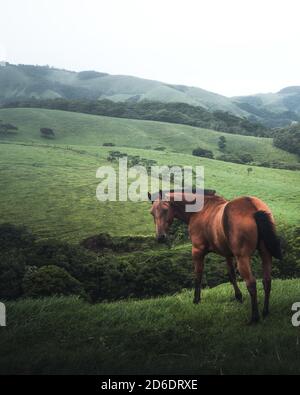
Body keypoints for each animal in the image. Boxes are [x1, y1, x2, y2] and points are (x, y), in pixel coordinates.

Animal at [149, 191, 282, 324]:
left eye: (165, 209)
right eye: (152, 212)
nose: (160, 237)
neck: (199, 211)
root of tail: (252, 206)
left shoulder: (197, 251)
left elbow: (198, 276)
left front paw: (196, 300)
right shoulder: (228, 254)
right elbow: (232, 275)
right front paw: (238, 297)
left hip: (242, 258)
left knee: (251, 284)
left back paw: (255, 317)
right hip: (265, 254)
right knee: (267, 281)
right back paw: (265, 311)